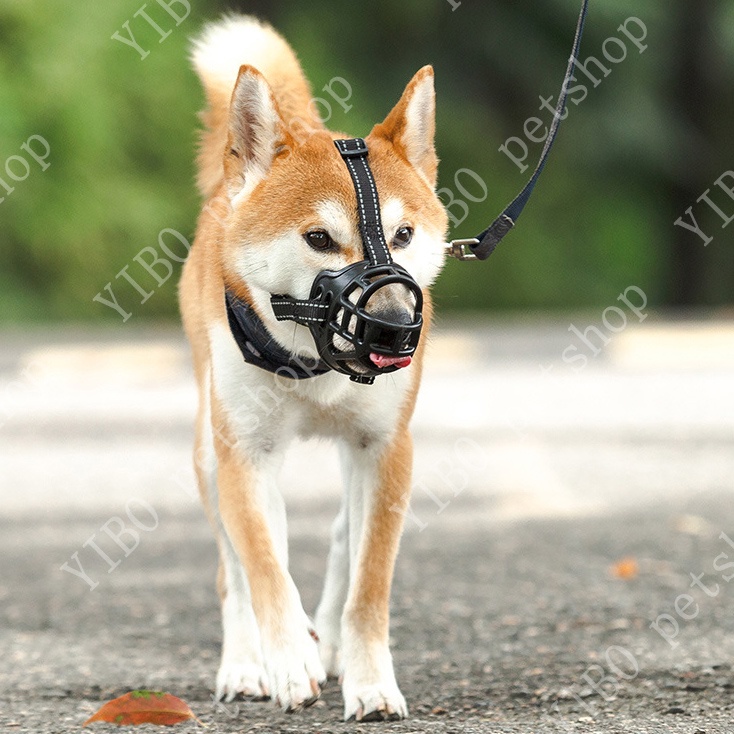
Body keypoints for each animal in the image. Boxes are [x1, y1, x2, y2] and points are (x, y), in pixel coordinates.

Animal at [181, 14, 452, 720]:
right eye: (320, 239)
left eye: (404, 235)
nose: (394, 325)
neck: (313, 364)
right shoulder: (244, 453)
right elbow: (265, 569)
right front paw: (287, 661)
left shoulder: (385, 447)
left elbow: (369, 585)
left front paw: (369, 681)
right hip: (209, 453)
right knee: (235, 571)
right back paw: (248, 664)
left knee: (339, 535)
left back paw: (325, 639)